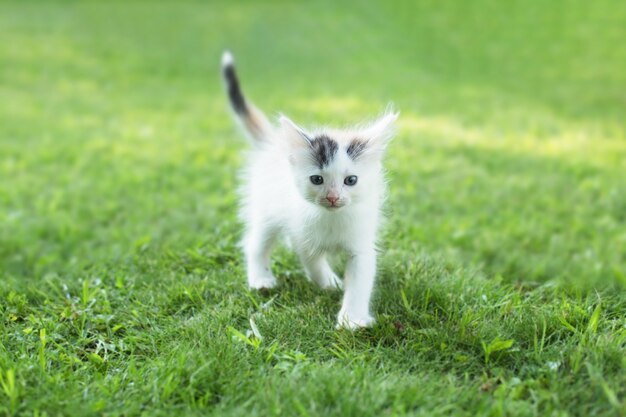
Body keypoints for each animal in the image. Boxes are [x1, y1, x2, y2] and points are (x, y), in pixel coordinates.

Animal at [219, 51, 394, 328]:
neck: (332, 219)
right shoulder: (302, 234)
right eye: (317, 179)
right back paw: (261, 280)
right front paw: (330, 283)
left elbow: (361, 278)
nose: (333, 197)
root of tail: (274, 142)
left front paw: (352, 320)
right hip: (267, 208)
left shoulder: (361, 242)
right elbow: (313, 263)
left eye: (351, 180)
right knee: (255, 242)